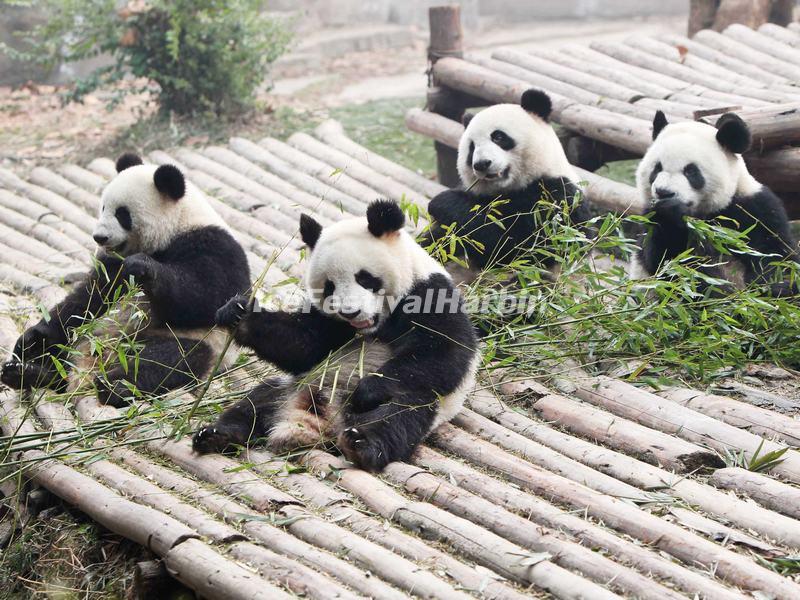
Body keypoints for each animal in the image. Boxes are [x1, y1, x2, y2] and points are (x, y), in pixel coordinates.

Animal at [0, 155, 250, 406]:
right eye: (102, 207)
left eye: (122, 214)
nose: (99, 237)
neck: (178, 224)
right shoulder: (109, 265)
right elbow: (87, 301)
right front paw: (32, 341)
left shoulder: (215, 247)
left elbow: (207, 298)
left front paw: (143, 267)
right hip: (87, 338)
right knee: (64, 355)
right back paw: (26, 371)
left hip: (189, 341)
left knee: (170, 359)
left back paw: (113, 385)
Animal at [192, 199, 482, 472]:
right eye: (329, 285)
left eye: (365, 278)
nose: (350, 312)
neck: (377, 323)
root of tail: (322, 421)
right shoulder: (330, 322)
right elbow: (305, 345)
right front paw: (238, 314)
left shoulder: (430, 293)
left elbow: (442, 352)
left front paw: (367, 389)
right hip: (295, 384)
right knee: (255, 404)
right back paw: (216, 434)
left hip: (417, 406)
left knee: (396, 417)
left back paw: (361, 444)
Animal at [428, 87, 592, 278]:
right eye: (472, 147)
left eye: (498, 137)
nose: (482, 164)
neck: (509, 189)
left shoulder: (556, 197)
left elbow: (521, 245)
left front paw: (441, 202)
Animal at [636, 110, 796, 296]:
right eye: (657, 169)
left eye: (691, 171)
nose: (664, 192)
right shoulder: (648, 220)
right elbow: (673, 265)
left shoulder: (754, 210)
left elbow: (776, 258)